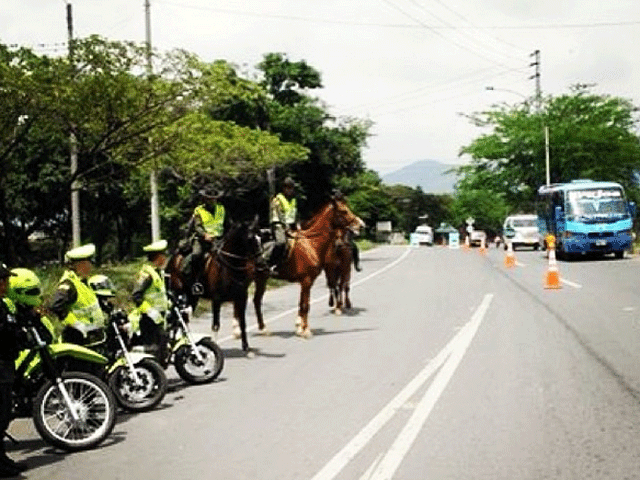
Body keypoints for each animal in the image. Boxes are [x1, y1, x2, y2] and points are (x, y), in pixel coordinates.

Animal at [166, 218, 266, 352]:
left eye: (261, 236)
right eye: (250, 239)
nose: (261, 263)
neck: (229, 266)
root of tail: (173, 259)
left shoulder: (241, 298)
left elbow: (242, 322)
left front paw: (245, 346)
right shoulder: (216, 300)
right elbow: (216, 325)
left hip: (192, 297)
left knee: (184, 320)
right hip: (179, 294)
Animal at [264, 195, 364, 338]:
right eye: (344, 211)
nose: (361, 225)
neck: (311, 244)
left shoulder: (306, 281)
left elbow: (302, 304)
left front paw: (300, 328)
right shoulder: (307, 280)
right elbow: (305, 305)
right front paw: (305, 330)